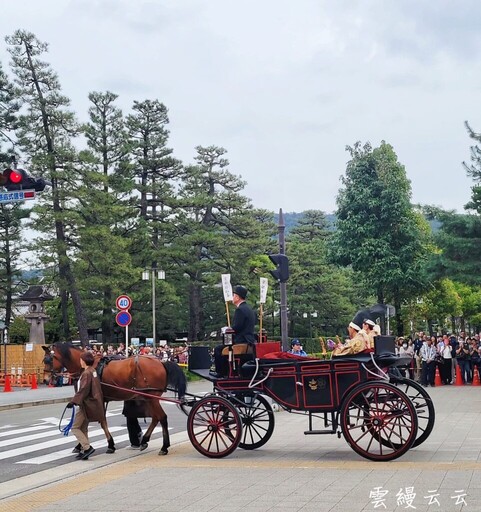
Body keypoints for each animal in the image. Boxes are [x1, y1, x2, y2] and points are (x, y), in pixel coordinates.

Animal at [42, 344, 188, 456]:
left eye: (48, 360)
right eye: (44, 360)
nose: (46, 380)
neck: (87, 367)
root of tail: (160, 362)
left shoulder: (95, 399)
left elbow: (100, 422)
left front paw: (110, 445)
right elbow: (87, 422)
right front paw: (81, 446)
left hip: (152, 398)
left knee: (162, 417)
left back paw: (164, 447)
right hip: (149, 398)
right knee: (156, 418)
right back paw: (144, 441)